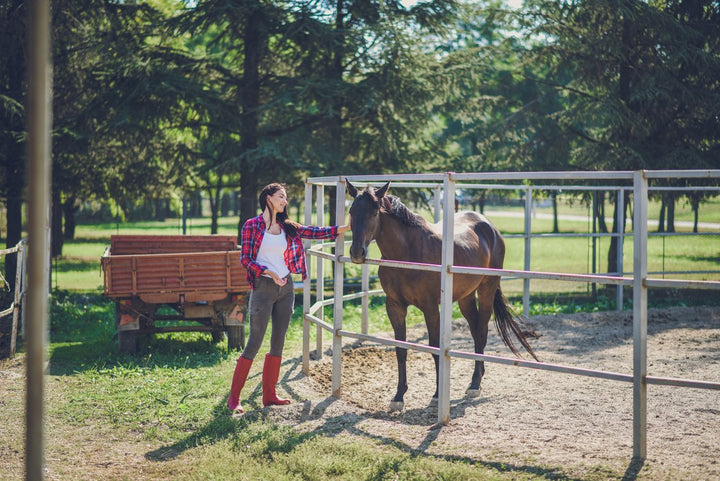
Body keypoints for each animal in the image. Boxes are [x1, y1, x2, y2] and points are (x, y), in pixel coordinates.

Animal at [346, 179, 538, 411]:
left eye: (374, 212)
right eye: (351, 211)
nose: (357, 252)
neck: (408, 253)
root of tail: (489, 226)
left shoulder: (430, 308)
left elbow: (435, 347)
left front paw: (437, 395)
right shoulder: (394, 307)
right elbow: (401, 349)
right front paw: (398, 397)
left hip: (486, 289)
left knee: (482, 330)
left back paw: (475, 385)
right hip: (465, 298)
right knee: (475, 331)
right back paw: (476, 378)